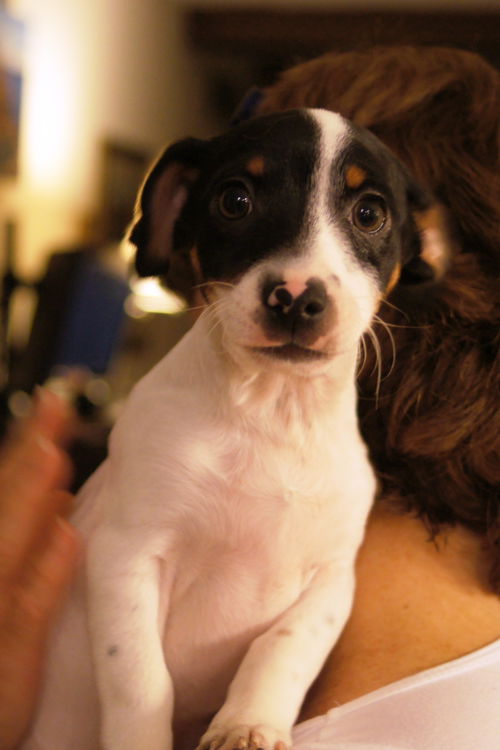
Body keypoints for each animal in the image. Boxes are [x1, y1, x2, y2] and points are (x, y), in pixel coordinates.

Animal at [24, 107, 450, 750]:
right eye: (235, 200)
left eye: (369, 213)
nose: (295, 297)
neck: (271, 419)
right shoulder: (127, 554)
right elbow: (140, 679)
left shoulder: (332, 582)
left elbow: (282, 650)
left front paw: (248, 723)